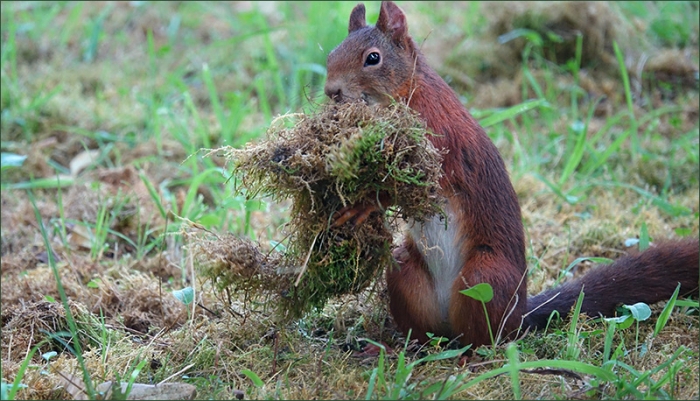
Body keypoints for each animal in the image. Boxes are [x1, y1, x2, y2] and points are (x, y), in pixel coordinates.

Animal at [324, 1, 699, 348]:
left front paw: (365, 203)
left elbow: (414, 181)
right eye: (330, 54)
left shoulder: (437, 137)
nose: (331, 91)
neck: (408, 90)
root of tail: (520, 313)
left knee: (486, 337)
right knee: (426, 330)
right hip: (406, 272)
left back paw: (469, 355)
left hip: (484, 276)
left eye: (372, 58)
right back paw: (400, 348)